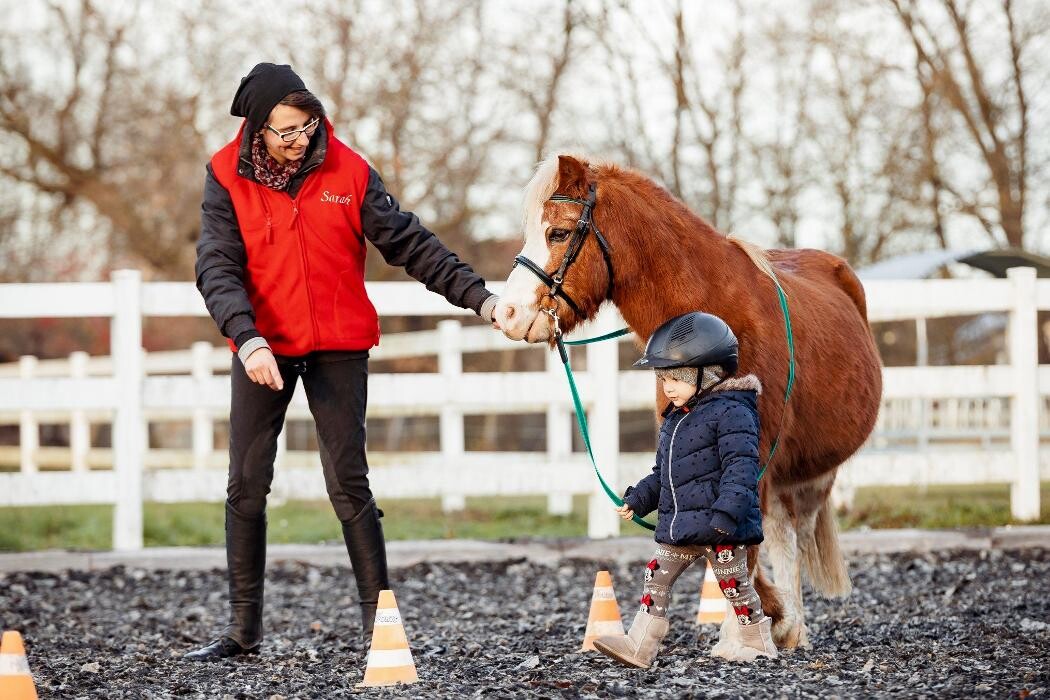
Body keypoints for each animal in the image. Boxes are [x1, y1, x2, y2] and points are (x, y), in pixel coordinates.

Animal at [495, 156, 881, 659]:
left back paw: (793, 625)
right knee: (781, 531)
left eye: (558, 233)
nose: (505, 314)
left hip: (815, 473)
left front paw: (740, 640)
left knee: (794, 533)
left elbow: (740, 546)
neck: (717, 311)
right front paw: (766, 616)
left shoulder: (751, 455)